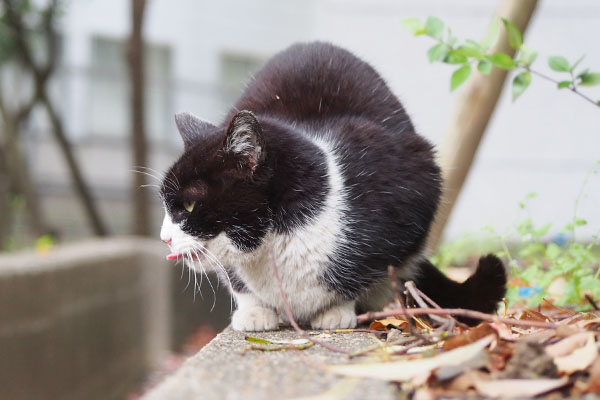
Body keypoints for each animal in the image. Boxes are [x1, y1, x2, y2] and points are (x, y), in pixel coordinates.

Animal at [159, 42, 506, 332]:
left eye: (188, 205)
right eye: (164, 203)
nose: (164, 238)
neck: (275, 241)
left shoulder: (408, 183)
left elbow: (364, 270)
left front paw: (336, 311)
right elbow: (236, 278)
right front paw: (254, 311)